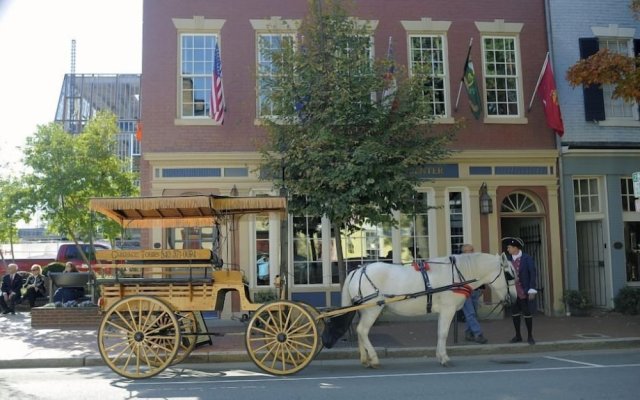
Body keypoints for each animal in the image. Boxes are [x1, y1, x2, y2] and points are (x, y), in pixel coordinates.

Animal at [342, 253, 512, 368]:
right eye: (509, 274)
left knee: (360, 332)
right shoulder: (448, 309)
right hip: (373, 309)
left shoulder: (443, 311)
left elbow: (439, 332)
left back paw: (365, 359)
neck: (456, 275)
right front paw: (444, 358)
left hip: (364, 309)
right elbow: (443, 333)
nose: (512, 299)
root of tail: (357, 271)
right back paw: (374, 358)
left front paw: (439, 356)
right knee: (362, 330)